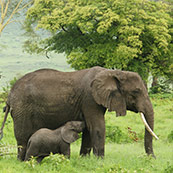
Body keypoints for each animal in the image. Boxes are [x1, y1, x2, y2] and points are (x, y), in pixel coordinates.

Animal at [0, 65, 157, 160]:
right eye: (136, 92)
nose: (153, 159)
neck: (113, 72)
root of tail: (9, 96)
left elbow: (89, 127)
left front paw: (85, 160)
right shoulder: (90, 98)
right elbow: (97, 127)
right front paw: (100, 161)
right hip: (22, 108)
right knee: (23, 135)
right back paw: (22, 162)